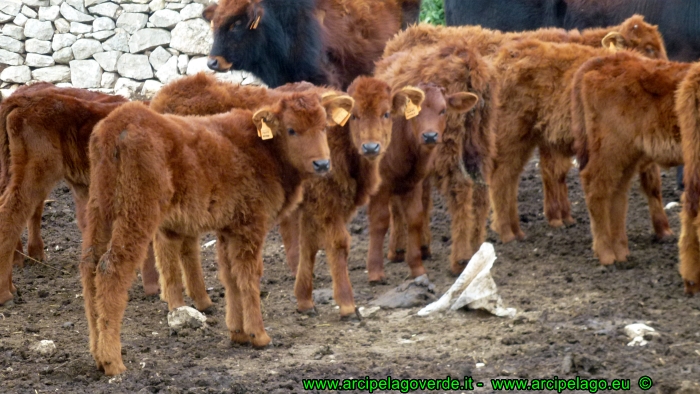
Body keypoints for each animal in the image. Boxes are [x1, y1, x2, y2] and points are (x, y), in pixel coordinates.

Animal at [82, 90, 352, 376]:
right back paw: (113, 361)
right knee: (111, 269)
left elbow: (229, 274)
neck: (263, 149)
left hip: (100, 207)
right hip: (137, 212)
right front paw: (259, 335)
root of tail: (117, 123)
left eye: (324, 127)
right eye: (291, 129)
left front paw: (238, 332)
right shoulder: (251, 224)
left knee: (89, 265)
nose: (322, 163)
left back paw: (97, 354)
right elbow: (249, 274)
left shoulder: (228, 227)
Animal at [364, 83, 478, 282]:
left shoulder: (414, 182)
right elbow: (379, 221)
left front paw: (417, 267)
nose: (430, 136)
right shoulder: (380, 186)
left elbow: (415, 217)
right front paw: (375, 271)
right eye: (415, 112)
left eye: (443, 110)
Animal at [576, 50, 688, 264]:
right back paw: (606, 254)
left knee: (617, 192)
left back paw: (621, 252)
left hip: (627, 157)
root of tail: (610, 59)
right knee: (596, 187)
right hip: (610, 151)